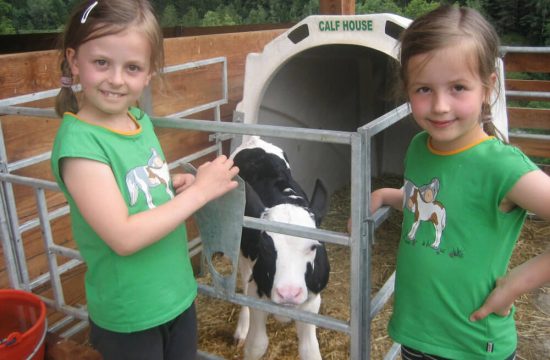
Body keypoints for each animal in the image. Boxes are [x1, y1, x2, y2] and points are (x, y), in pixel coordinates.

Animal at [230, 136, 330, 360]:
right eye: (265, 247)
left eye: (313, 246)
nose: (288, 293)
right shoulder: (256, 293)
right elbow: (257, 345)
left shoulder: (312, 301)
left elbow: (310, 350)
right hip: (242, 252)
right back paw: (242, 328)